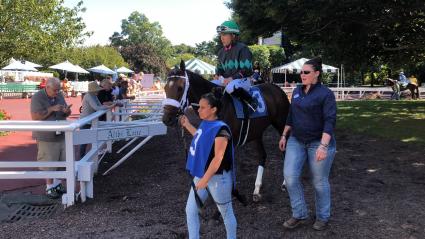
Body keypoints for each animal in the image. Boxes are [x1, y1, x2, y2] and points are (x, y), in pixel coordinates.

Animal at [161, 60, 290, 202]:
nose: (167, 119)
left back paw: (285, 183)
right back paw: (256, 190)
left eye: (180, 88)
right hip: (257, 133)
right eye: (165, 88)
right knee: (262, 155)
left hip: (281, 124)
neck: (217, 106)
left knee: (285, 149)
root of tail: (277, 89)